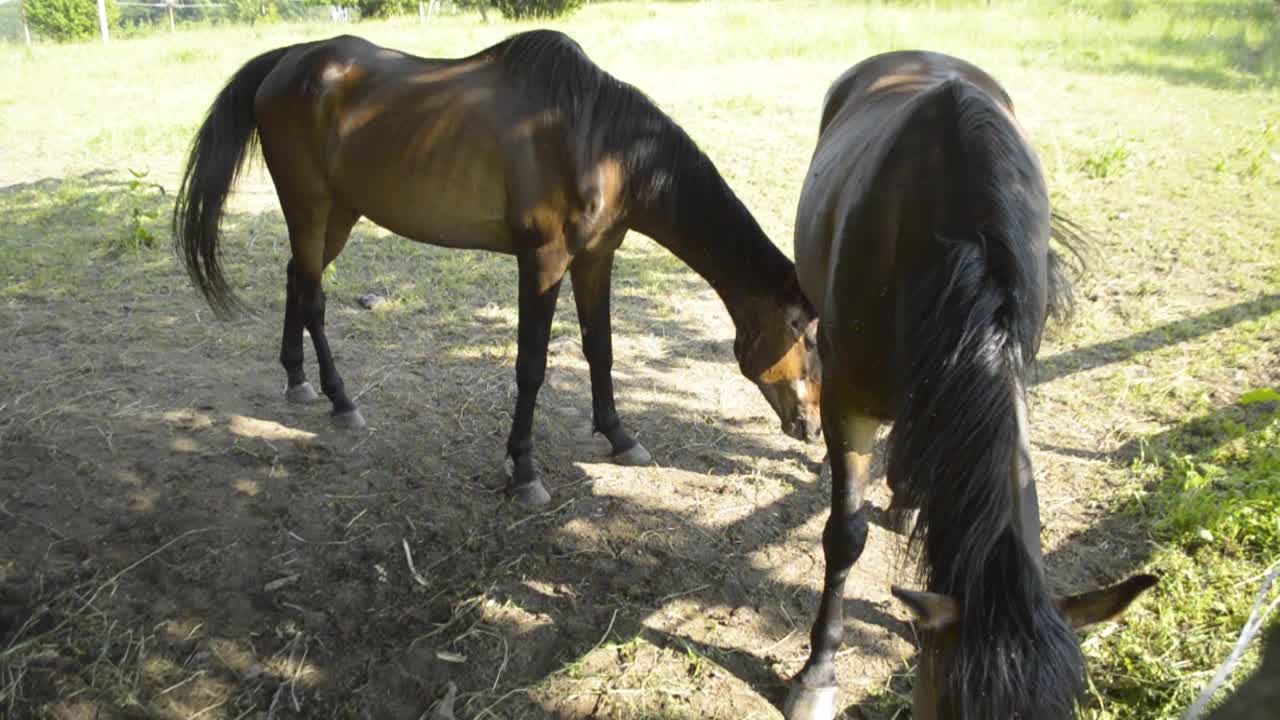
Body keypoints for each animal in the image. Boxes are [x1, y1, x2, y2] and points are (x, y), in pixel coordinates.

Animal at [173, 30, 822, 505]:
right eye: (805, 332)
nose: (813, 427)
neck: (598, 142)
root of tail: (288, 61)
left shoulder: (596, 258)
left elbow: (601, 349)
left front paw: (619, 436)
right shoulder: (543, 262)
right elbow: (531, 366)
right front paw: (525, 469)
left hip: (338, 215)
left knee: (295, 279)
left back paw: (296, 379)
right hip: (309, 208)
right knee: (311, 297)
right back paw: (341, 400)